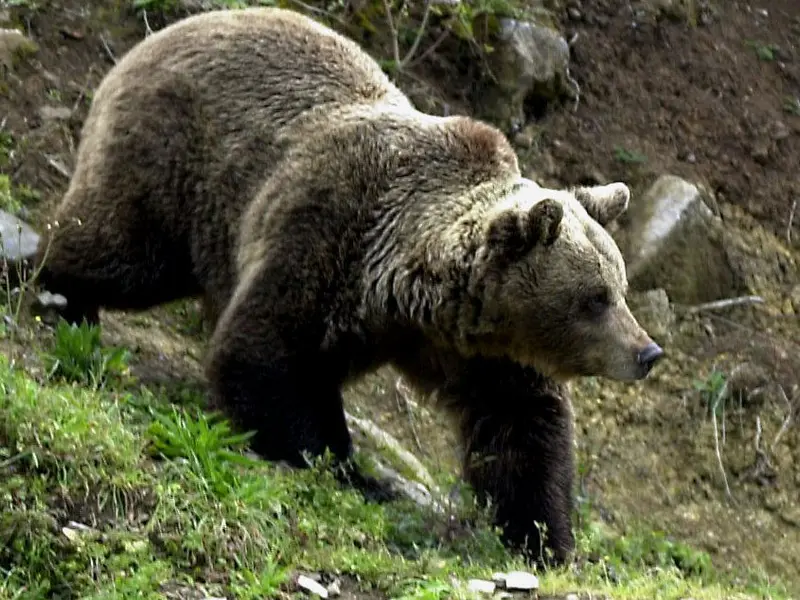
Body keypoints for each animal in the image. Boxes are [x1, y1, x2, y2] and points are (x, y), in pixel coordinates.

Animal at [32, 7, 664, 566]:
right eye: (594, 298)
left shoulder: (481, 349)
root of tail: (153, 39)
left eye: (619, 287)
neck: (408, 293)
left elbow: (524, 429)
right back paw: (59, 297)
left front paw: (544, 538)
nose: (647, 352)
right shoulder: (325, 233)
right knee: (122, 249)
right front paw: (342, 467)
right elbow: (265, 352)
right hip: (178, 166)